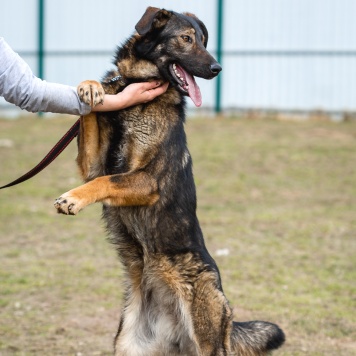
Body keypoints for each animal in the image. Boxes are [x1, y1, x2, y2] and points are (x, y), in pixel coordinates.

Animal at [54, 6, 286, 356]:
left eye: (203, 40)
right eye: (186, 39)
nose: (217, 68)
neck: (138, 89)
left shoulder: (147, 181)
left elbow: (106, 181)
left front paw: (73, 199)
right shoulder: (92, 164)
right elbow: (91, 125)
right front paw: (91, 88)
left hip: (207, 337)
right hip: (129, 345)